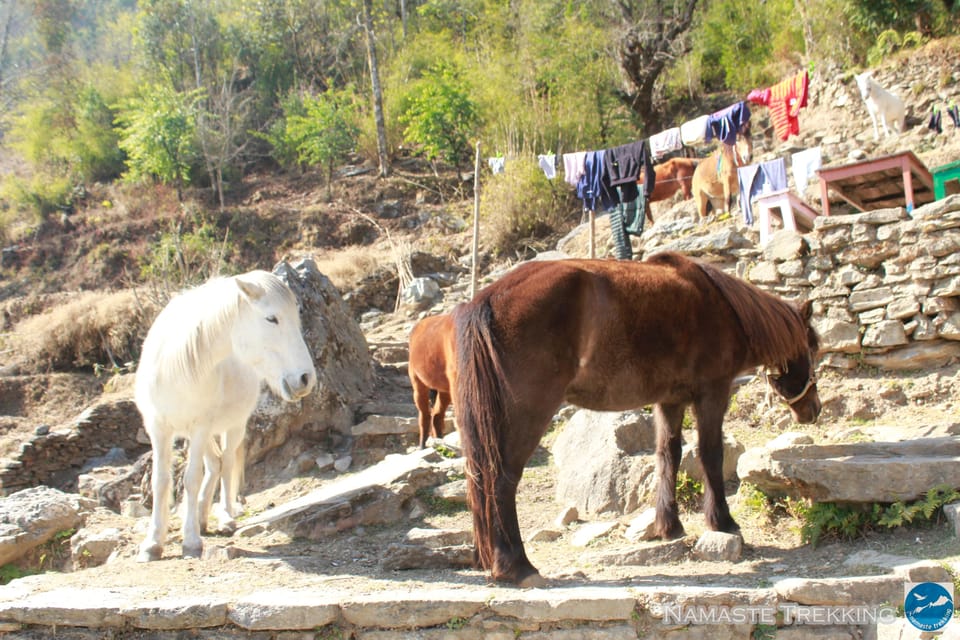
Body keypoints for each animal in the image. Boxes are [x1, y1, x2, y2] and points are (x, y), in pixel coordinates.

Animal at [135, 270, 316, 560]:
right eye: (271, 318)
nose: (305, 379)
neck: (179, 365)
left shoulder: (199, 428)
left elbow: (191, 478)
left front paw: (191, 541)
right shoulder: (158, 428)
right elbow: (160, 481)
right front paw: (153, 543)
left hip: (232, 427)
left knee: (227, 462)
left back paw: (225, 518)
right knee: (215, 464)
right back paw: (201, 516)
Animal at [454, 252, 820, 588]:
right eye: (813, 347)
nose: (813, 409)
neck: (723, 306)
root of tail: (486, 300)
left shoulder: (670, 401)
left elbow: (668, 456)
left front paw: (668, 525)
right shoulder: (712, 394)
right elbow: (710, 455)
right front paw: (722, 521)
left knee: (482, 479)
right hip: (528, 416)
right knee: (502, 480)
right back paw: (517, 566)